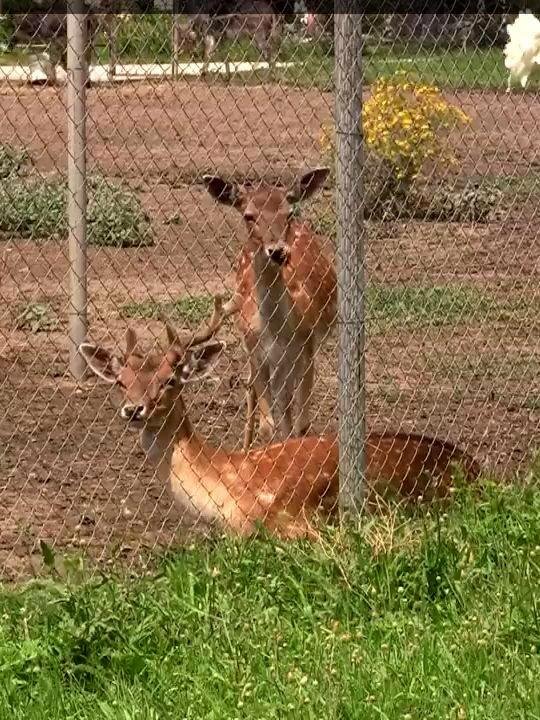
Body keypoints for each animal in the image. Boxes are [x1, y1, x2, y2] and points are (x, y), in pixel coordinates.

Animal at [204, 169, 338, 450]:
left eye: (288, 213)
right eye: (248, 215)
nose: (277, 251)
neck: (277, 328)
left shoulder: (306, 348)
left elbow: (301, 424)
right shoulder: (257, 352)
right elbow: (267, 425)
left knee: (285, 405)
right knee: (253, 390)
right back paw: (245, 446)